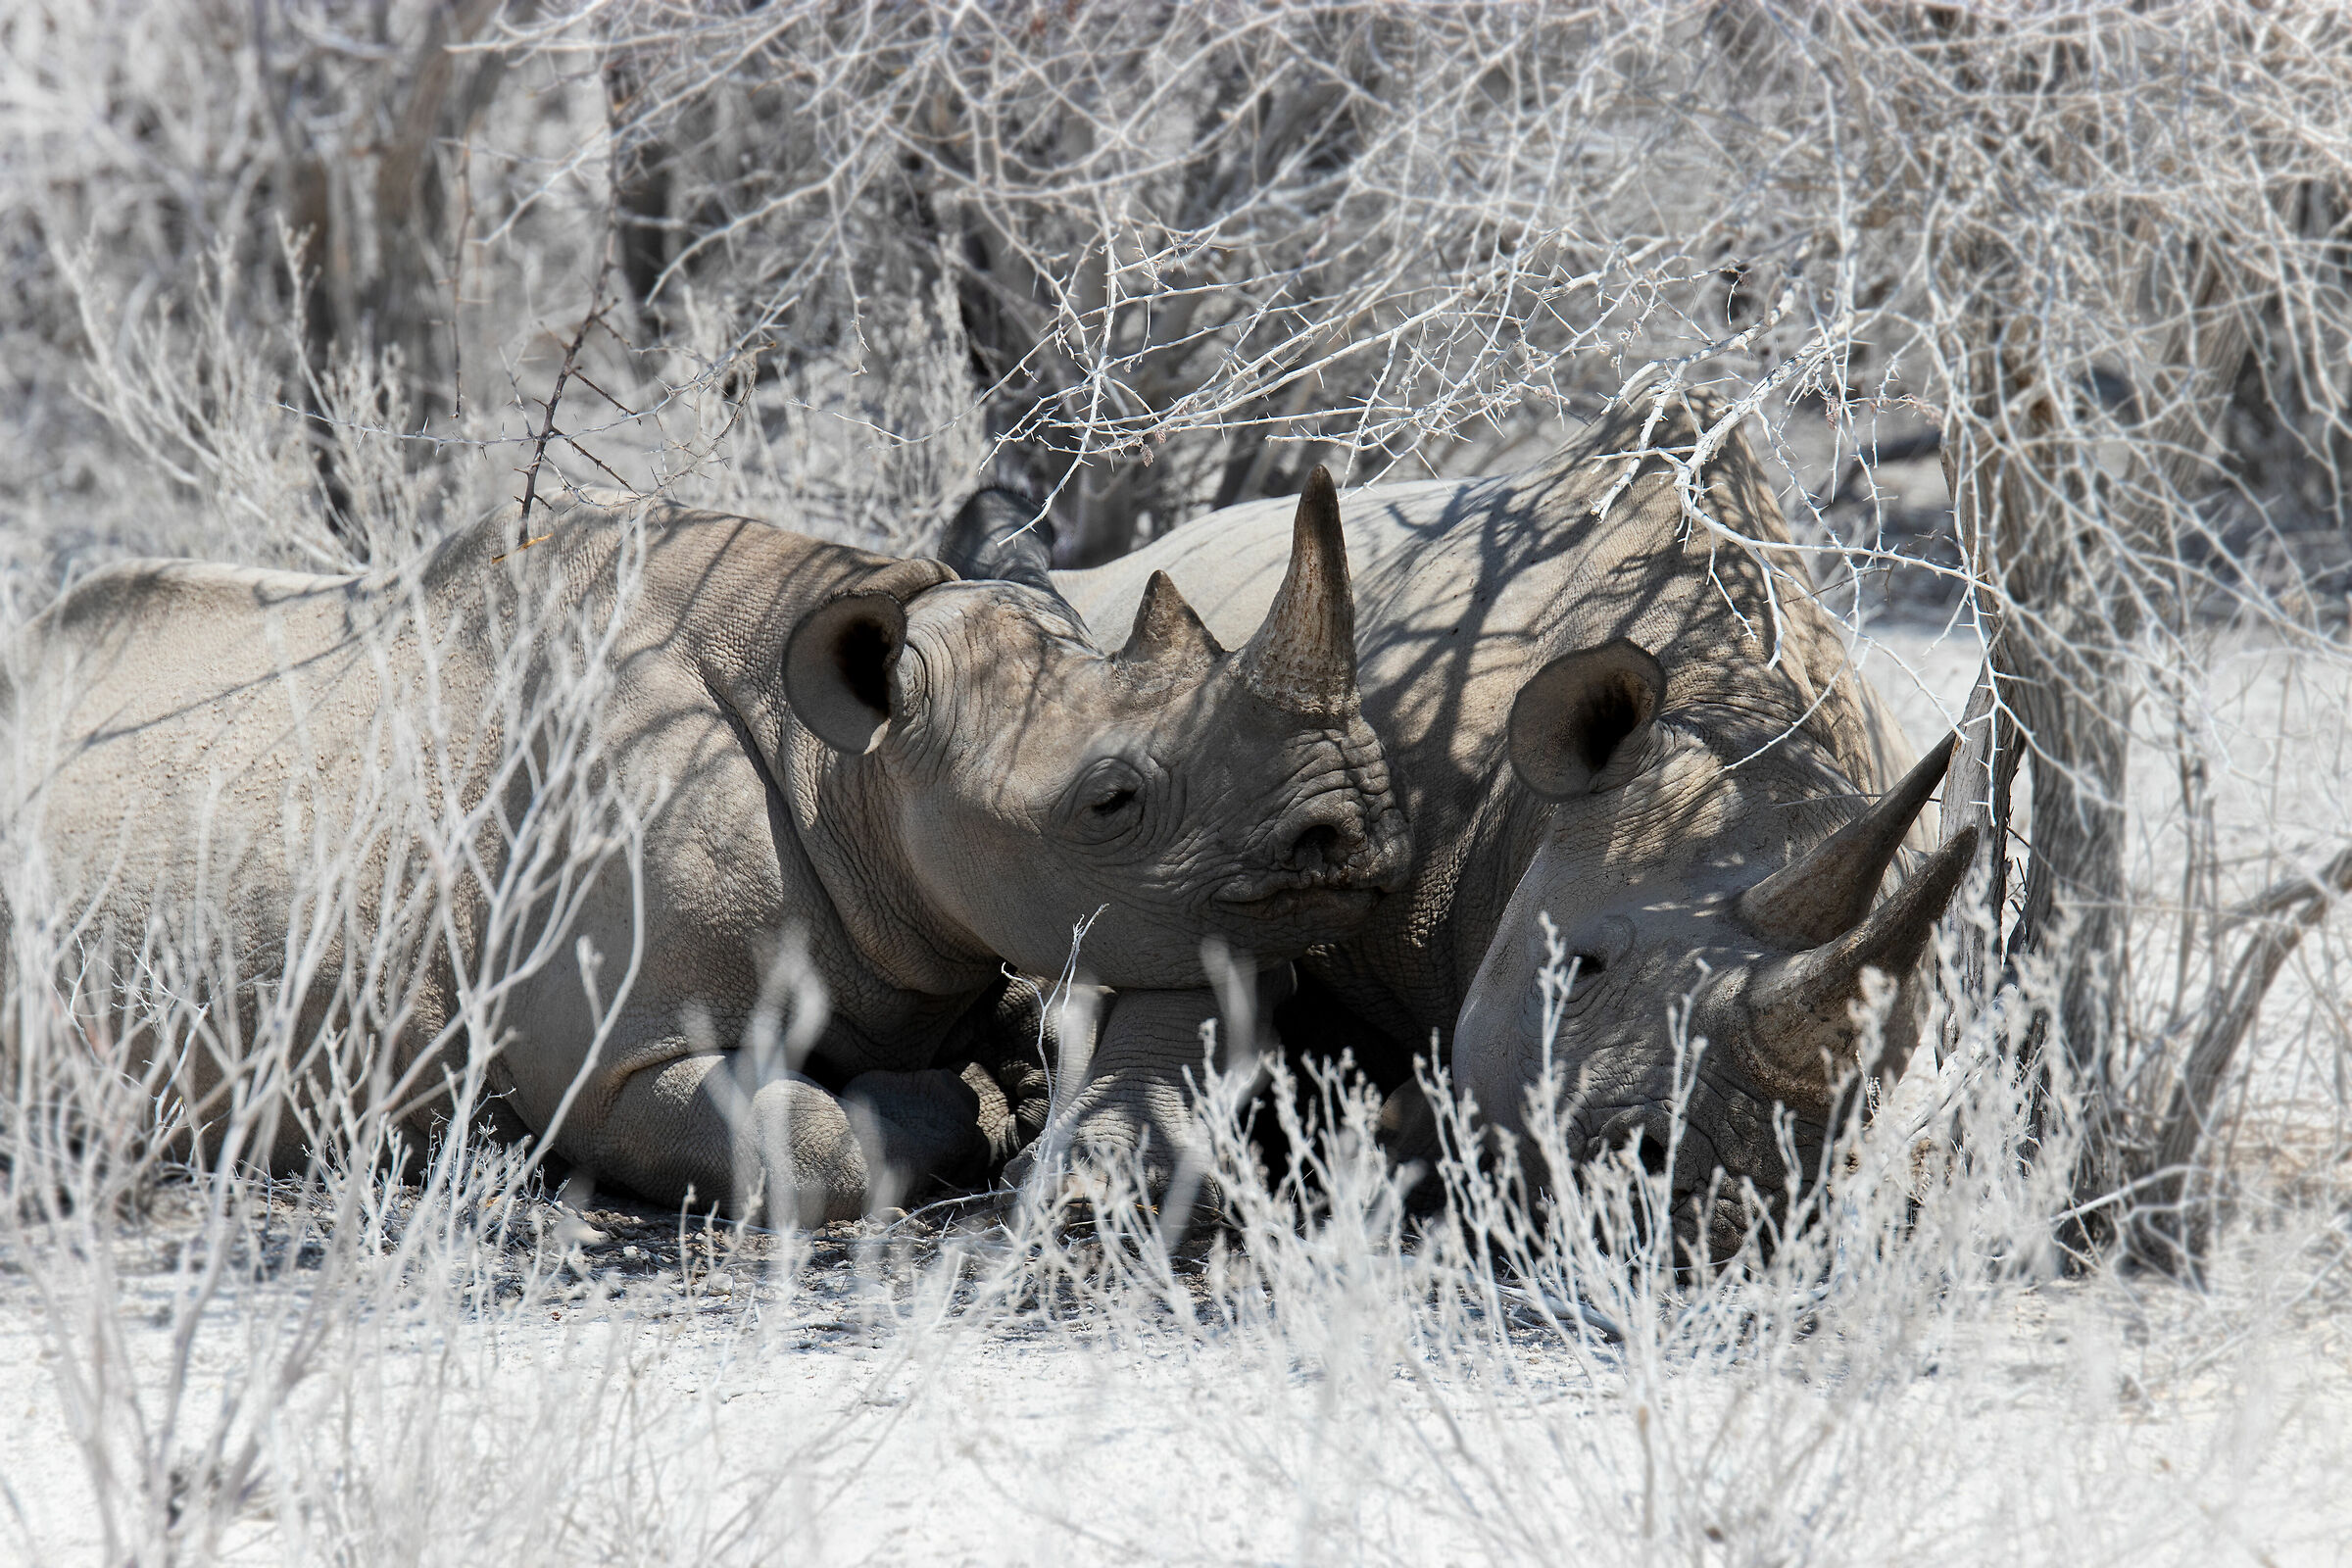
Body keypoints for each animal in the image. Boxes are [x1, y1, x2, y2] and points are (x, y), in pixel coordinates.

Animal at [4, 488, 1407, 1224]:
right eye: (1111, 799)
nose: (1350, 834)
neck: (851, 765)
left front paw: (1004, 1081)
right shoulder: (616, 1066)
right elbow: (809, 1137)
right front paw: (959, 1106)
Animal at [956, 389, 1971, 1240]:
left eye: (1880, 1071)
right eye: (1580, 968)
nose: (1718, 1204)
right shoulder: (1271, 825)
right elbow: (1198, 960)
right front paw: (1091, 1197)